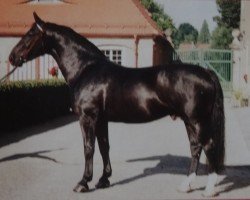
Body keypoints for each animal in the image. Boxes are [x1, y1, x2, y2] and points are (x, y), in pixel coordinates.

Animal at [9, 13, 225, 198]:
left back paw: (209, 189)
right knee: (196, 148)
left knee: (208, 146)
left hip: (196, 120)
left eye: (31, 34)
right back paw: (186, 185)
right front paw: (104, 179)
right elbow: (104, 146)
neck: (86, 69)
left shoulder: (87, 117)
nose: (12, 57)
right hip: (189, 121)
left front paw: (83, 183)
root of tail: (206, 72)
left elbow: (89, 148)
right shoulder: (101, 119)